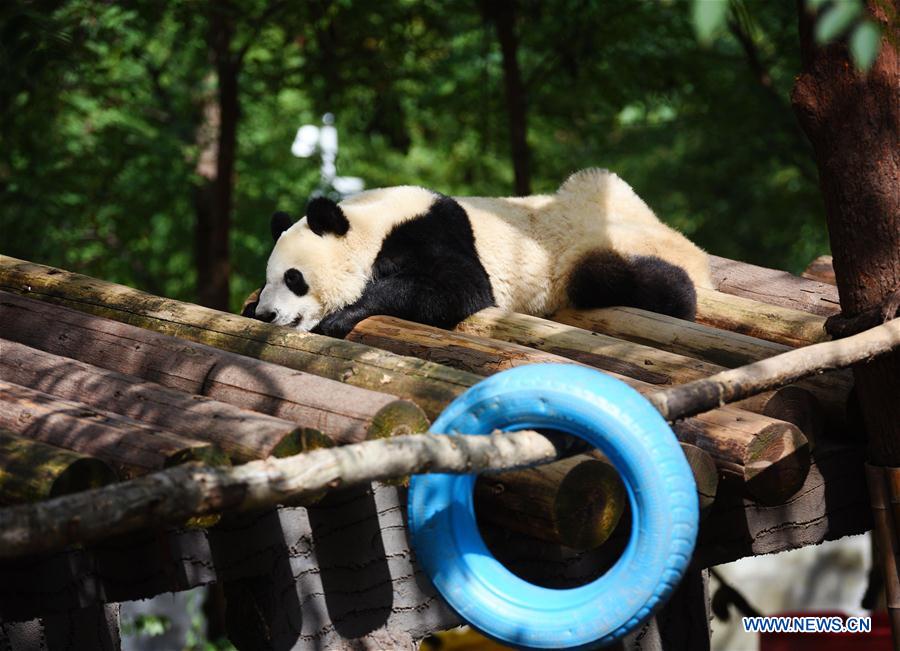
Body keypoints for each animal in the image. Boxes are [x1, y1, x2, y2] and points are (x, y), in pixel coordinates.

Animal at [250, 168, 712, 338]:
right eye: (269, 277)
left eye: (294, 278)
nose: (268, 314)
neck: (371, 223)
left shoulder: (429, 232)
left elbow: (458, 288)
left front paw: (344, 314)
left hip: (600, 250)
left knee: (625, 279)